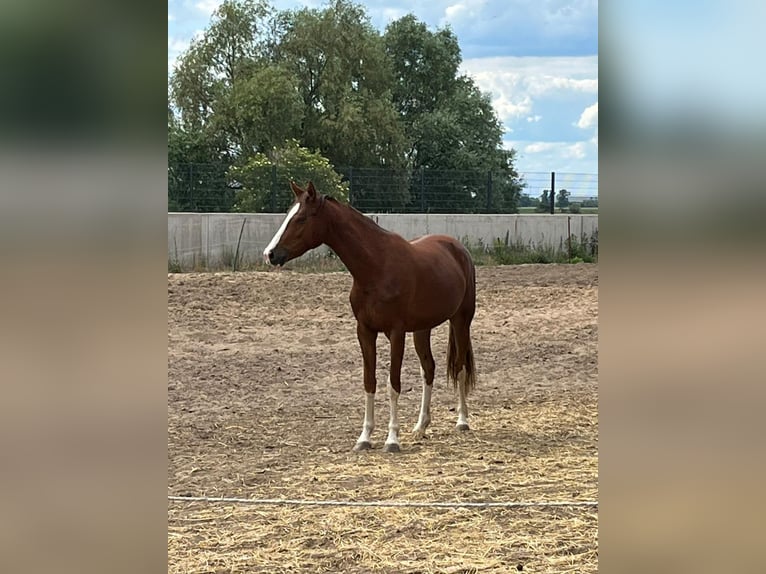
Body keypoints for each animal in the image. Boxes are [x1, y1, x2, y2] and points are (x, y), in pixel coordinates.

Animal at [263, 181, 477, 452]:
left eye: (301, 218)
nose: (270, 254)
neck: (376, 266)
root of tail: (457, 247)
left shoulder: (396, 333)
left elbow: (393, 384)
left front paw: (392, 439)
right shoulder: (364, 331)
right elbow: (369, 381)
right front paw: (364, 438)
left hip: (461, 320)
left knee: (459, 367)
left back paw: (462, 421)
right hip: (422, 329)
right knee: (428, 369)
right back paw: (421, 426)